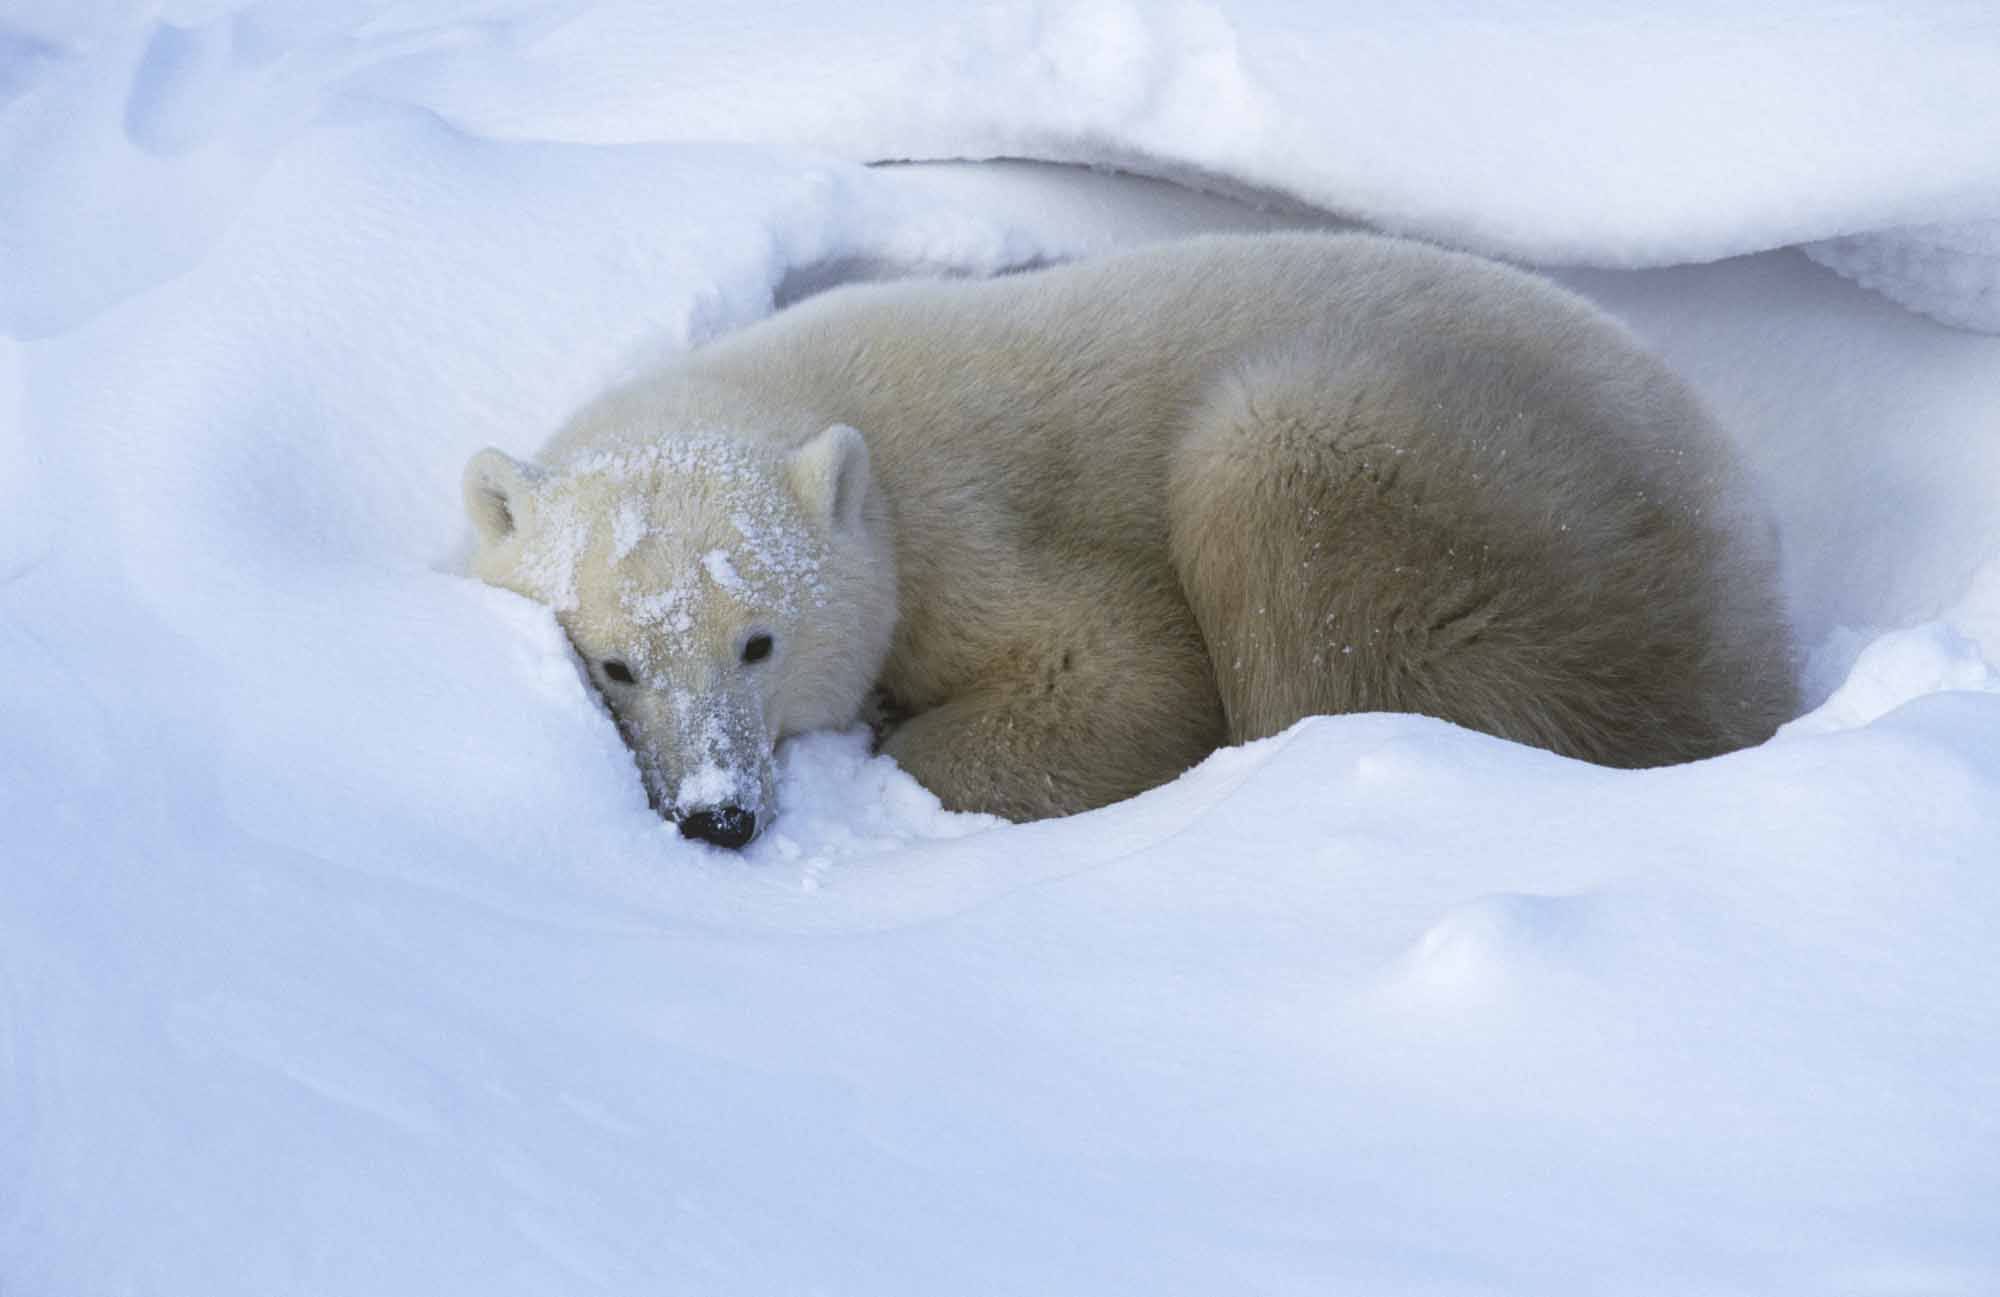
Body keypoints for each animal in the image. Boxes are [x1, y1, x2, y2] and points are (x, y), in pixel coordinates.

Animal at [464, 230, 1800, 852]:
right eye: (613, 664)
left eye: (759, 642)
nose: (717, 815)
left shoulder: (966, 524)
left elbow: (1128, 666)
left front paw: (900, 736)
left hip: (1521, 508)